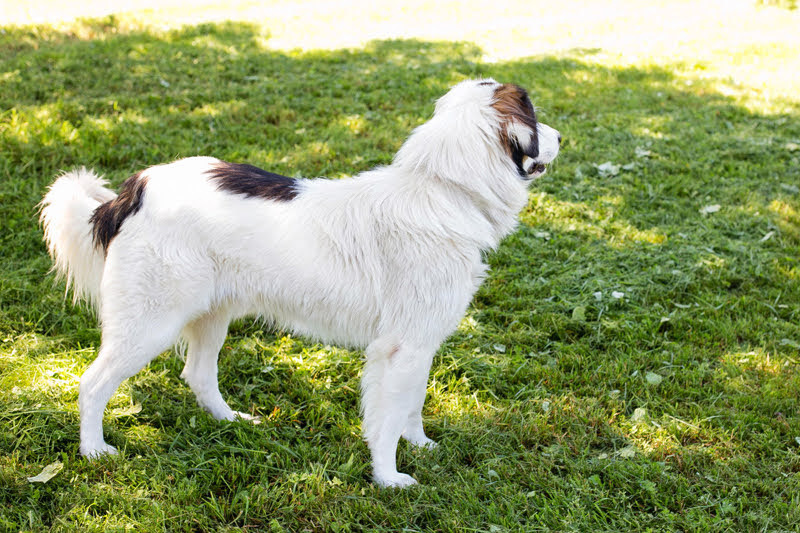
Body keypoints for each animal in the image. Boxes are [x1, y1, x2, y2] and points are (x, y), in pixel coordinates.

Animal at [40, 79, 560, 486]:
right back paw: (93, 451)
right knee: (92, 384)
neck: (444, 188)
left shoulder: (419, 344)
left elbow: (411, 405)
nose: (561, 136)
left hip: (211, 315)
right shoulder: (400, 348)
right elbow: (388, 418)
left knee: (198, 375)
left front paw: (421, 445)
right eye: (535, 117)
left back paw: (232, 422)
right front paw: (388, 477)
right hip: (150, 324)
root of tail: (133, 190)